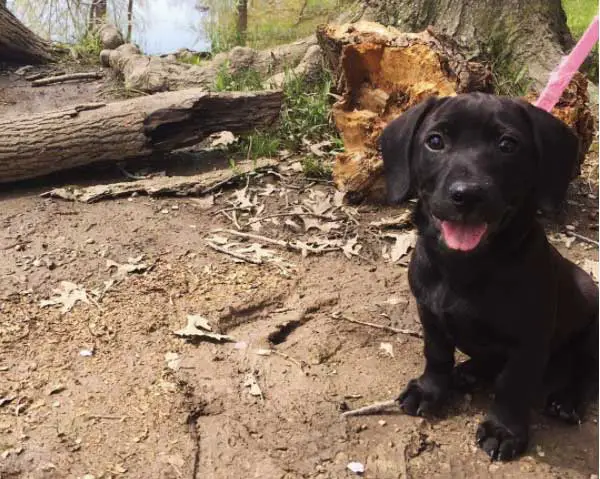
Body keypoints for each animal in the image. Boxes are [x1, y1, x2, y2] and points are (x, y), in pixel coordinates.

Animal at [382, 92, 596, 464]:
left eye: (507, 144)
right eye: (435, 141)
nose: (467, 194)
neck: (466, 268)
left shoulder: (529, 340)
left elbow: (512, 386)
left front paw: (503, 430)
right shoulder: (430, 315)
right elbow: (436, 355)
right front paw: (429, 390)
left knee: (584, 369)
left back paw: (567, 399)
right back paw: (468, 372)